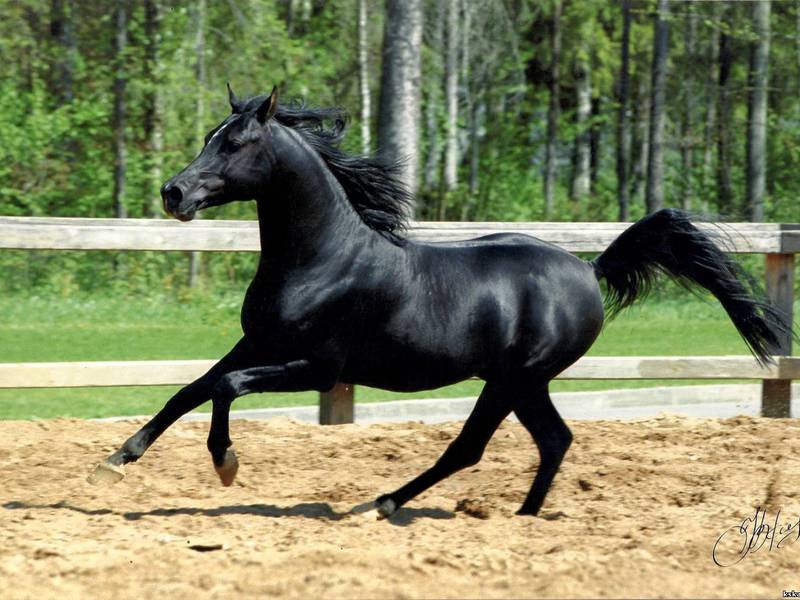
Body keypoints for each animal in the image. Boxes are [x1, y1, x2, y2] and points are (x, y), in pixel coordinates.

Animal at [89, 85, 786, 517]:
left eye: (235, 144)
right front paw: (113, 462)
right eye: (211, 134)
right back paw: (521, 516)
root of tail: (589, 270)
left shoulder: (320, 370)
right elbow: (191, 388)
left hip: (512, 378)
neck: (321, 259)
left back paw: (389, 503)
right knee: (553, 441)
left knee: (474, 447)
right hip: (524, 383)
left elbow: (226, 387)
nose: (174, 193)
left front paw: (226, 463)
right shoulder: (259, 342)